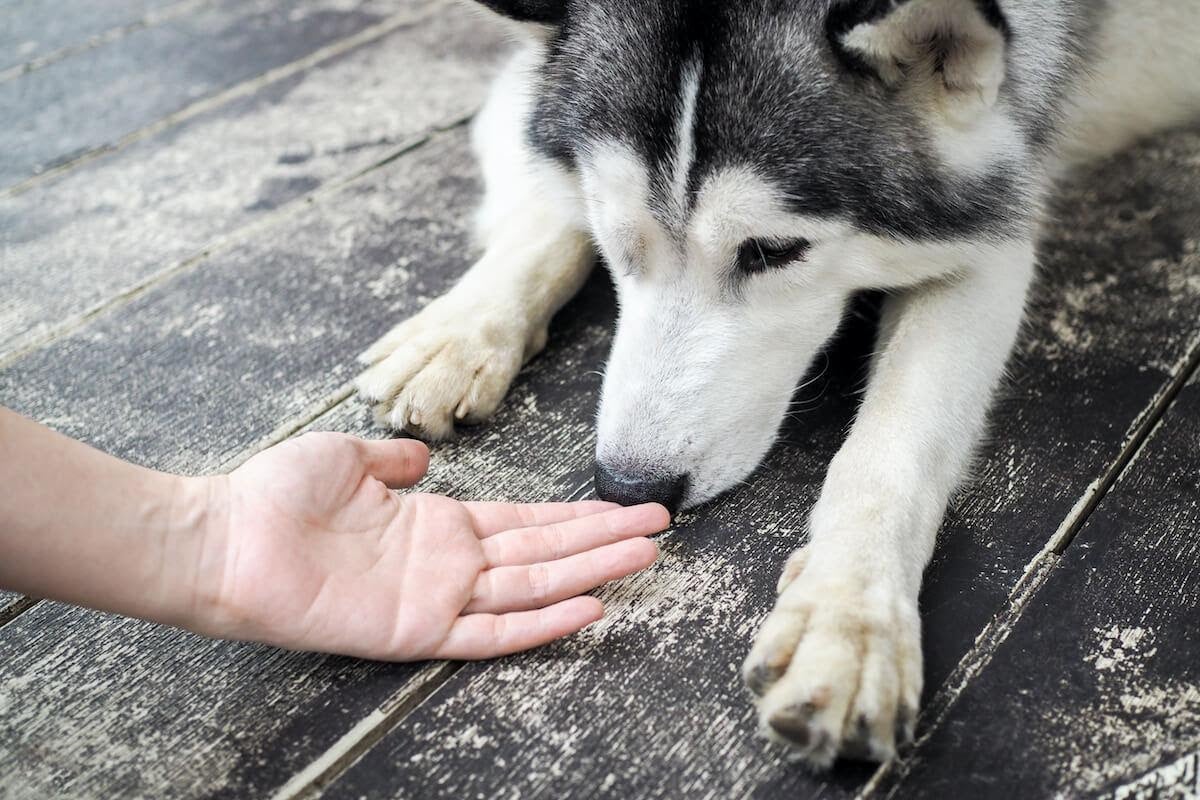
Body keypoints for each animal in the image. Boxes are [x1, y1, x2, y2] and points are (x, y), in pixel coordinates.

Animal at [355, 0, 1200, 767]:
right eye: (615, 235)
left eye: (772, 251)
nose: (629, 488)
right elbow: (543, 215)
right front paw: (459, 330)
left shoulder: (989, 225)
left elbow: (892, 449)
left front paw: (847, 617)